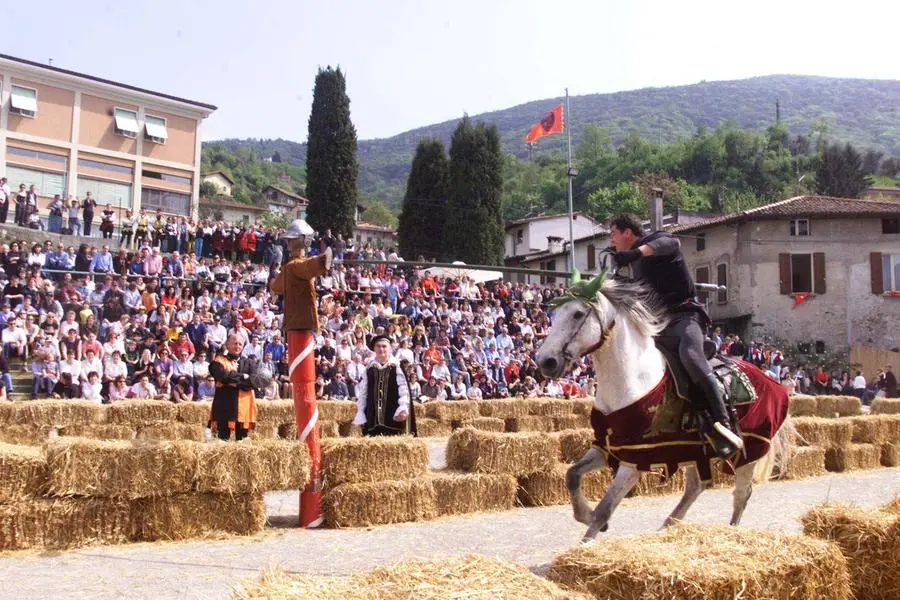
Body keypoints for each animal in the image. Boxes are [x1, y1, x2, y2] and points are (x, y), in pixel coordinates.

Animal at [536, 272, 788, 540]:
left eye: (577, 314)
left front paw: (589, 538)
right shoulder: (607, 447)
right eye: (554, 313)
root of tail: (771, 379)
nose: (546, 361)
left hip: (749, 451)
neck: (631, 380)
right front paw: (585, 515)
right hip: (695, 450)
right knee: (696, 486)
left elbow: (604, 508)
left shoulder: (634, 460)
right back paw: (669, 526)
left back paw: (729, 533)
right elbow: (572, 475)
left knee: (741, 495)